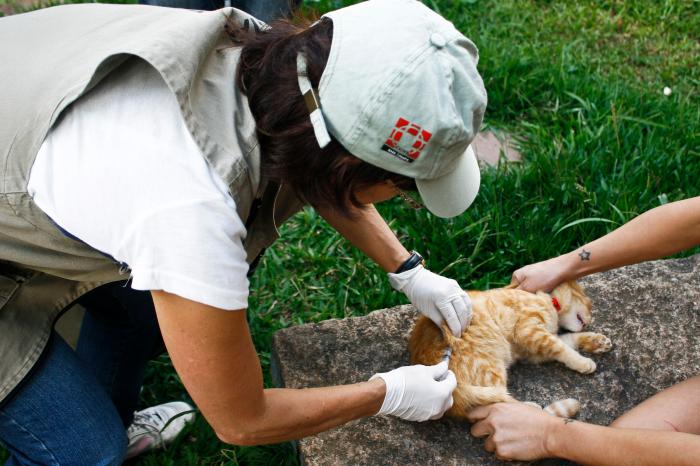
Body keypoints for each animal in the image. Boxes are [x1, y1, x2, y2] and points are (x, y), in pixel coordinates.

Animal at [408, 280, 608, 418]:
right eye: (589, 303)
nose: (589, 320)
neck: (548, 301)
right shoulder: (530, 331)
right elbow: (563, 348)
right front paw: (583, 361)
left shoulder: (533, 351)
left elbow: (567, 341)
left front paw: (596, 341)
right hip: (491, 366)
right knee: (497, 402)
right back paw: (530, 411)